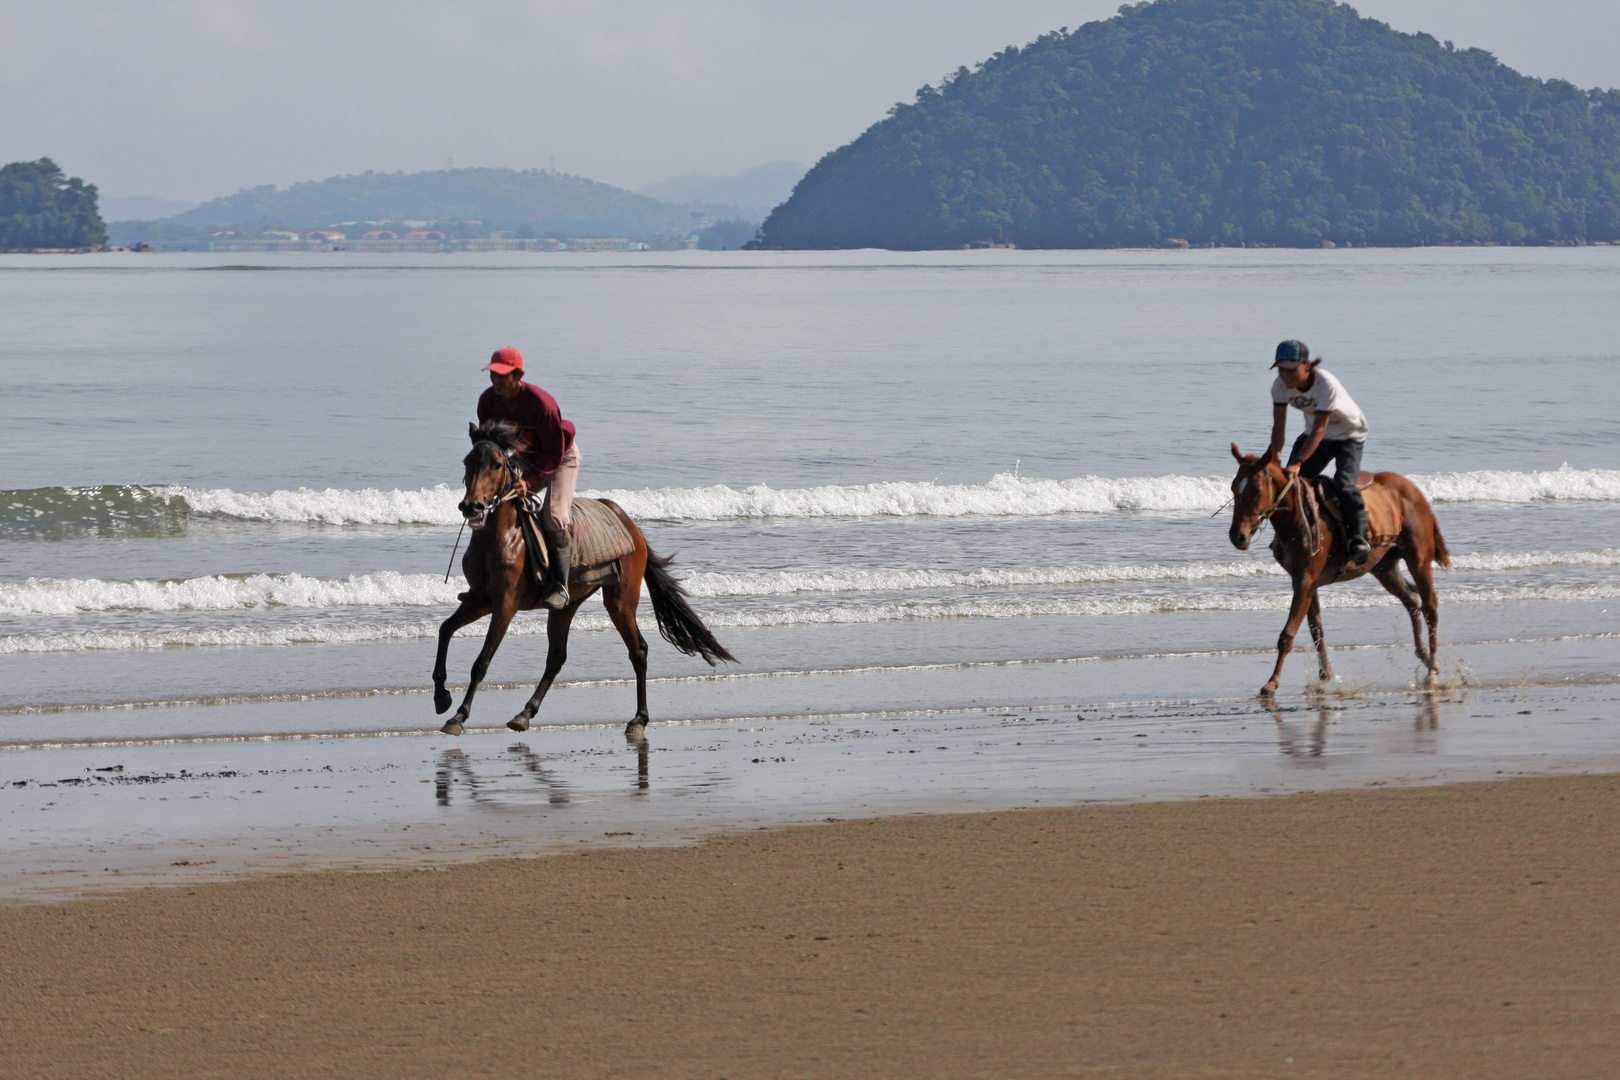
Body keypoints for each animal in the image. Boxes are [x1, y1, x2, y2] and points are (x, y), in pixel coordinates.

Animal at [430, 420, 735, 735]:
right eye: (468, 462)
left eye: (497, 464)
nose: (472, 506)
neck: (499, 538)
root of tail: (630, 525)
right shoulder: (480, 600)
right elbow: (445, 630)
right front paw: (441, 696)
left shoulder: (505, 605)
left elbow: (481, 662)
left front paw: (458, 716)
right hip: (567, 605)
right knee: (556, 657)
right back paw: (525, 714)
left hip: (620, 601)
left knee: (638, 650)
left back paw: (639, 718)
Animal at [1224, 443, 1458, 696]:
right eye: (1233, 487)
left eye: (1257, 490)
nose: (1238, 536)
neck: (1296, 518)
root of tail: (1414, 490)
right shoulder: (1304, 580)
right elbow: (1316, 628)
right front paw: (1324, 675)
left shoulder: (1305, 579)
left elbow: (1288, 633)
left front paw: (1273, 682)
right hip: (1384, 567)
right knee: (1411, 601)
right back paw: (1424, 656)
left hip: (1419, 560)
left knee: (1429, 607)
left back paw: (1432, 668)